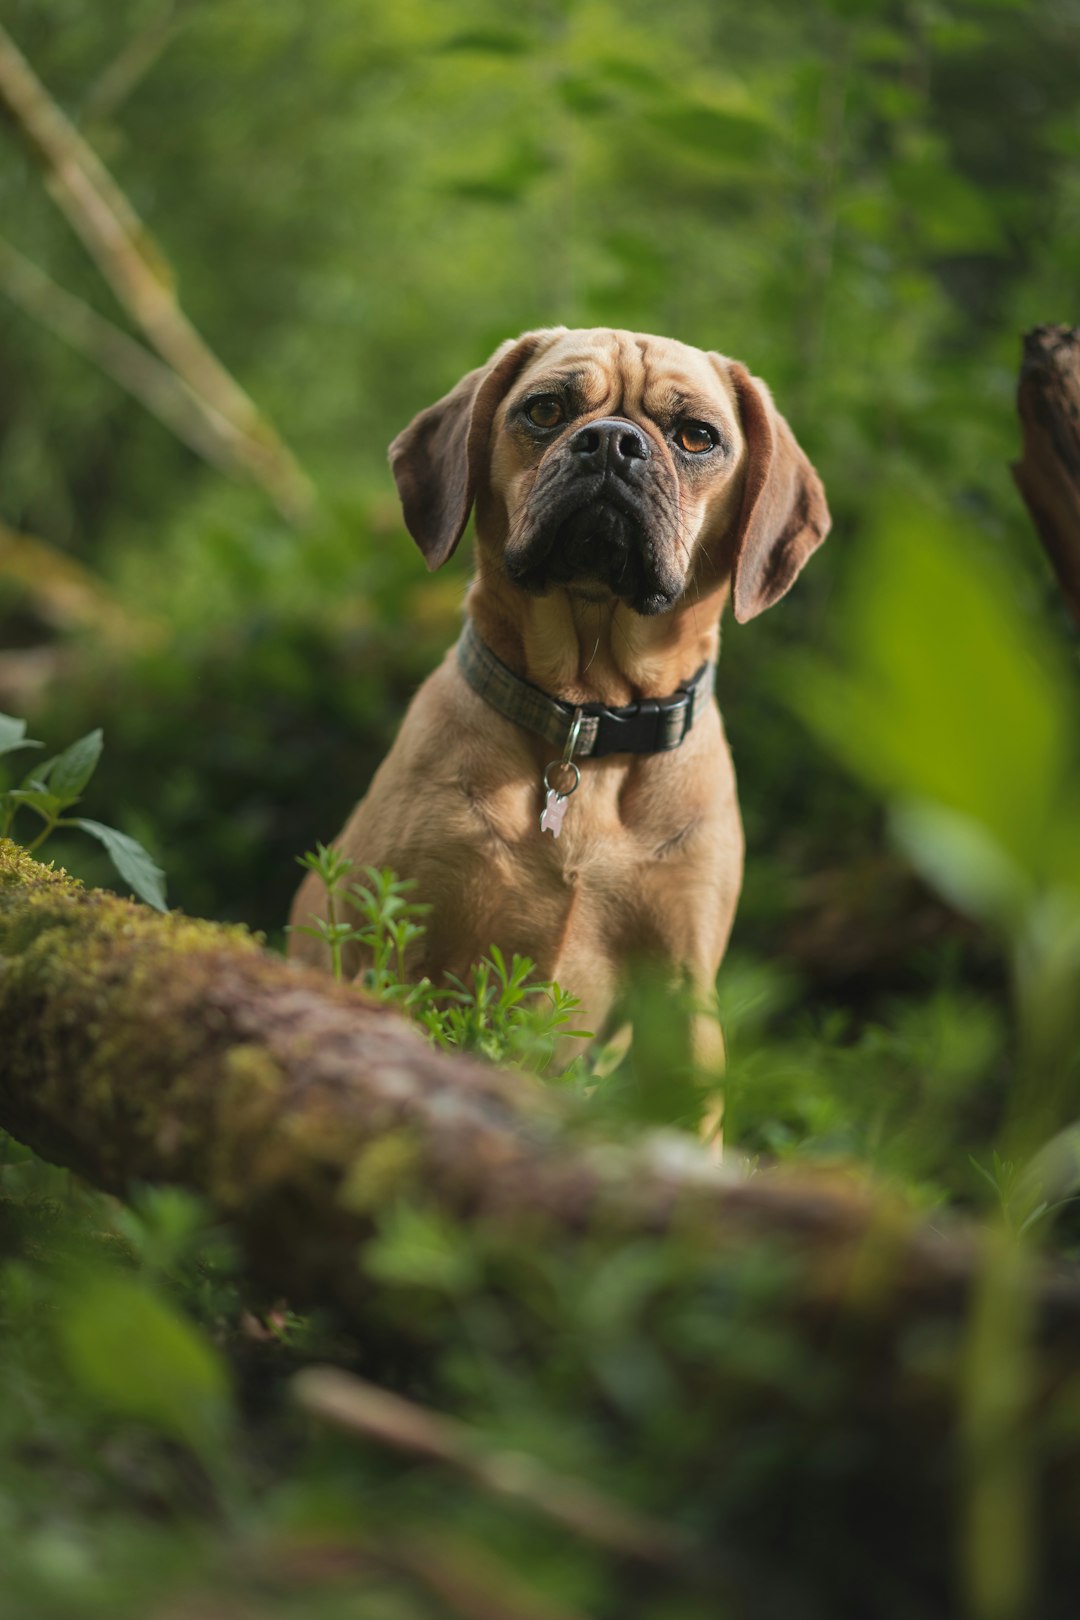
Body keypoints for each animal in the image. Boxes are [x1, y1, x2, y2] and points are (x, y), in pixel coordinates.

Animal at [286, 325, 829, 1088]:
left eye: (697, 436)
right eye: (545, 410)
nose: (611, 442)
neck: (588, 721)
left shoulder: (683, 995)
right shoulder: (396, 939)